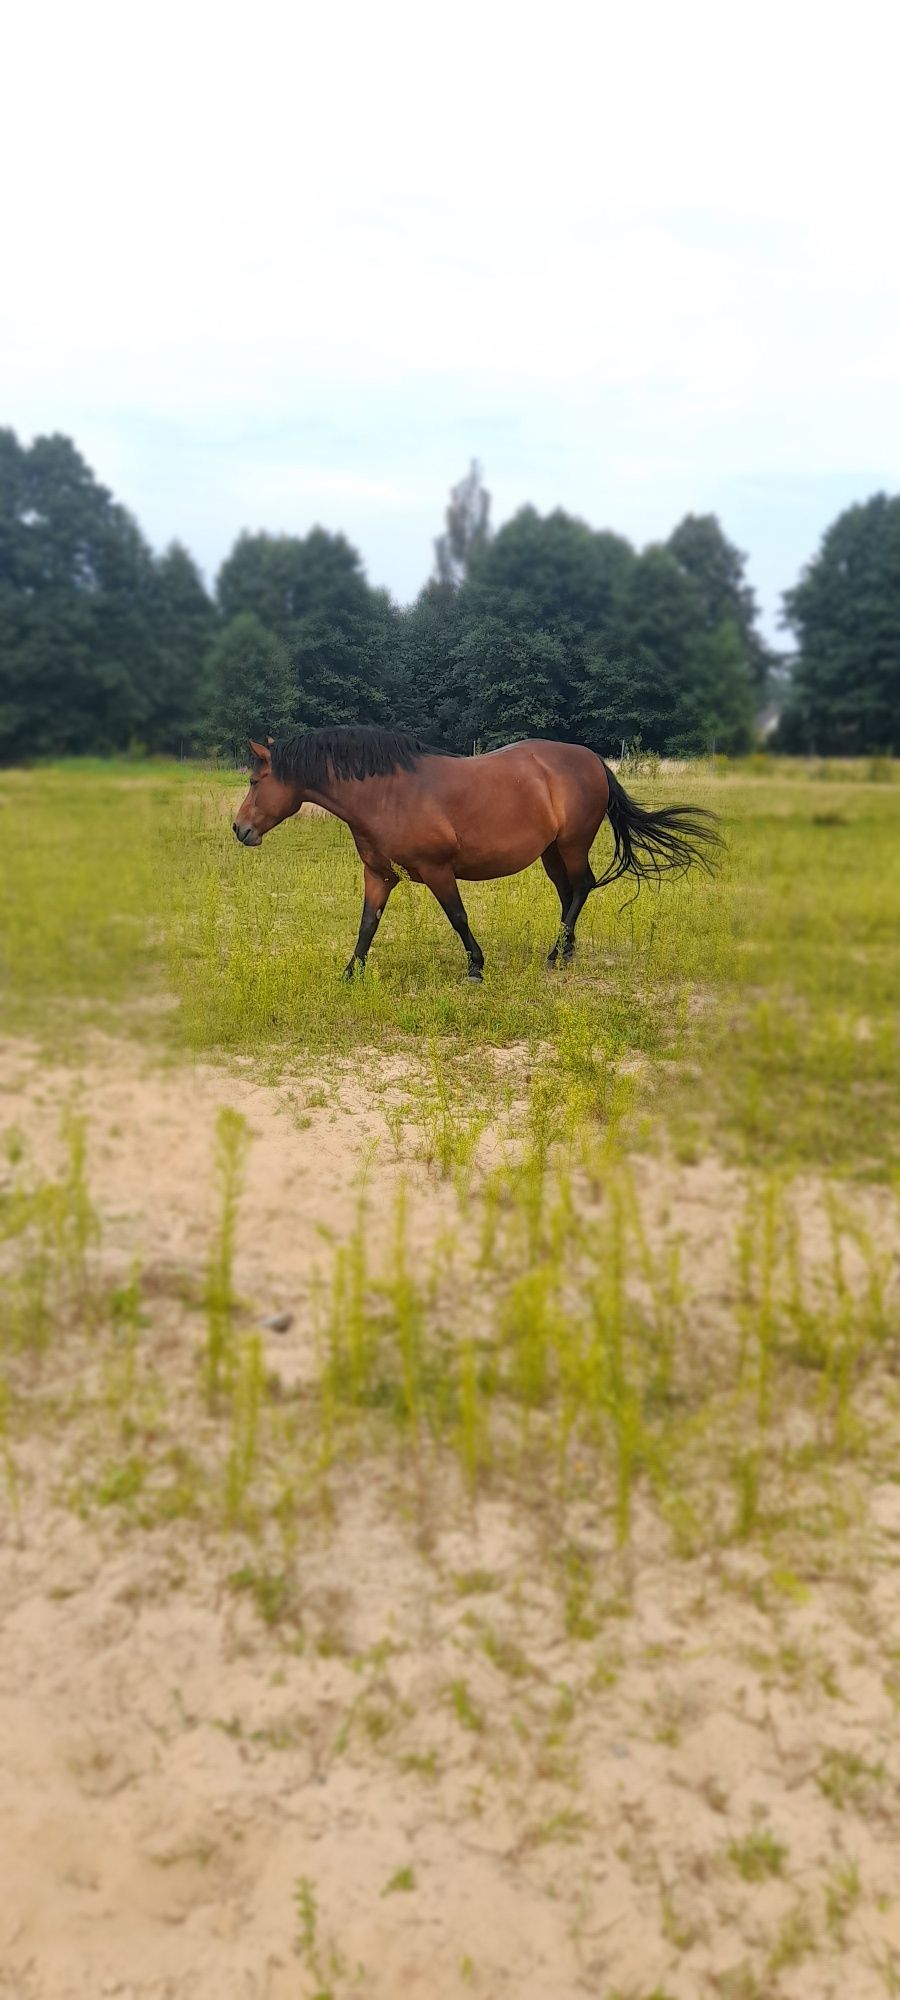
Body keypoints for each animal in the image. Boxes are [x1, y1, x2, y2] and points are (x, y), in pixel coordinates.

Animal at [234, 736, 724, 984]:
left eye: (256, 781)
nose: (240, 829)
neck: (385, 794)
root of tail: (594, 760)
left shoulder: (437, 871)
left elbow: (458, 917)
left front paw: (475, 967)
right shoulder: (378, 875)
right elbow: (367, 924)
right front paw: (351, 974)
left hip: (571, 845)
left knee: (582, 887)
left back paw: (555, 955)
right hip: (551, 853)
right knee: (569, 893)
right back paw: (566, 951)